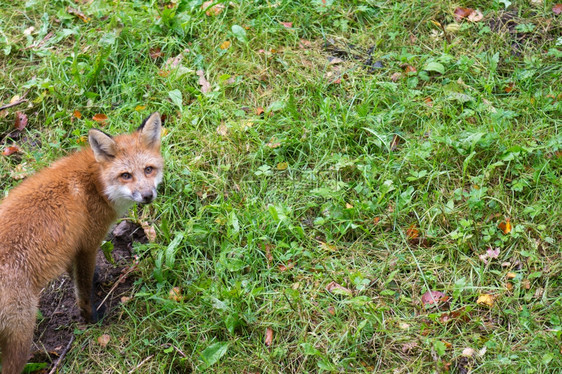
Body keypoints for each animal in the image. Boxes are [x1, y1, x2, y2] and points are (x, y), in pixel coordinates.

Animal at [0, 112, 162, 372]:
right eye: (126, 175)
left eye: (149, 169)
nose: (148, 196)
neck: (96, 184)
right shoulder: (88, 244)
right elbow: (83, 290)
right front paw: (91, 318)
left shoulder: (71, 244)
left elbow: (75, 274)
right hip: (21, 333)